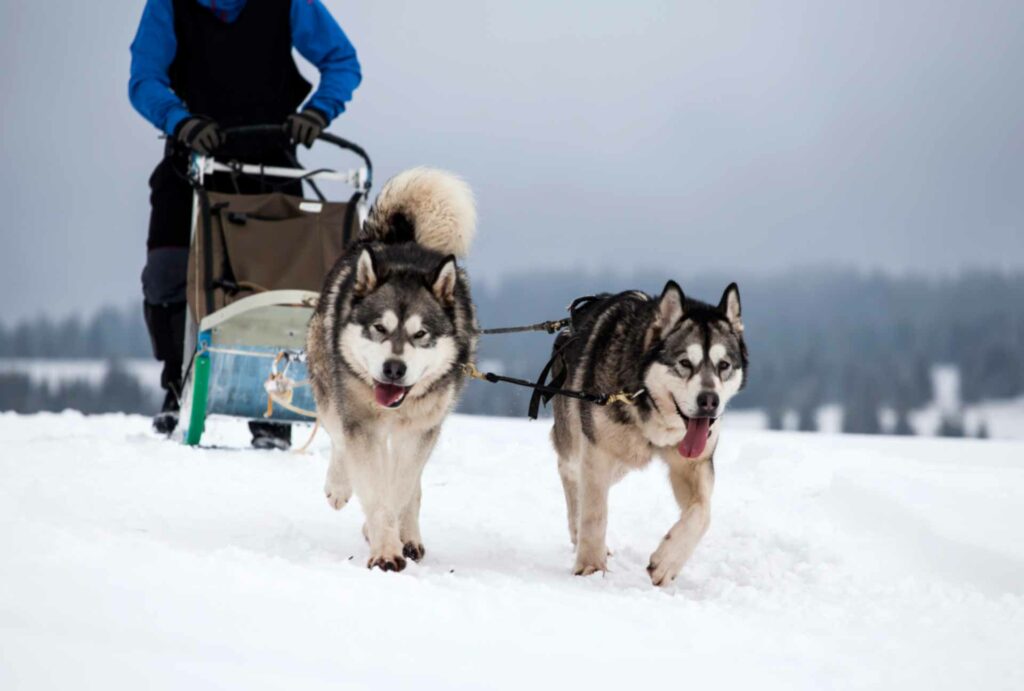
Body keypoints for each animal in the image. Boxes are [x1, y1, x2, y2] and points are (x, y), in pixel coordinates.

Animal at [305, 168, 477, 573]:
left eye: (420, 334)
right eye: (379, 328)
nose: (394, 369)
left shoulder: (418, 432)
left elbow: (399, 489)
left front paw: (391, 536)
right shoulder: (362, 427)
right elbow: (375, 486)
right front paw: (384, 549)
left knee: (411, 484)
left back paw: (409, 535)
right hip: (330, 391)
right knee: (338, 438)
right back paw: (340, 487)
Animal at [552, 284, 745, 585]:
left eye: (723, 365)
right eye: (684, 363)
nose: (709, 401)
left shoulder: (693, 463)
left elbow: (703, 513)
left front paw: (667, 562)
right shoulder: (597, 453)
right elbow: (595, 514)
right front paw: (591, 568)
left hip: (622, 462)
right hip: (584, 444)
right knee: (571, 476)